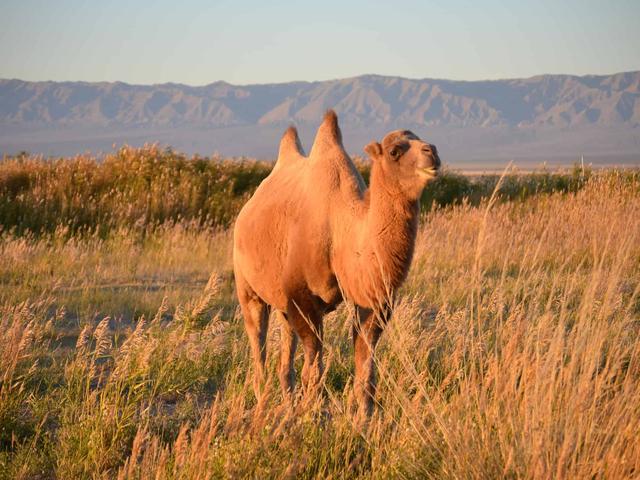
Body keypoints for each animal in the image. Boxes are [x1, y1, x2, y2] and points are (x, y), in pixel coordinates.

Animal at [233, 110, 440, 416]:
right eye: (394, 151)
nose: (432, 151)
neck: (341, 229)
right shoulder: (302, 295)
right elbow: (314, 363)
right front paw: (312, 412)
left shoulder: (372, 298)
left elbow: (365, 361)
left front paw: (364, 415)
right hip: (248, 288)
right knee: (258, 342)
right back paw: (264, 404)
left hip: (282, 303)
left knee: (286, 347)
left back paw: (287, 402)